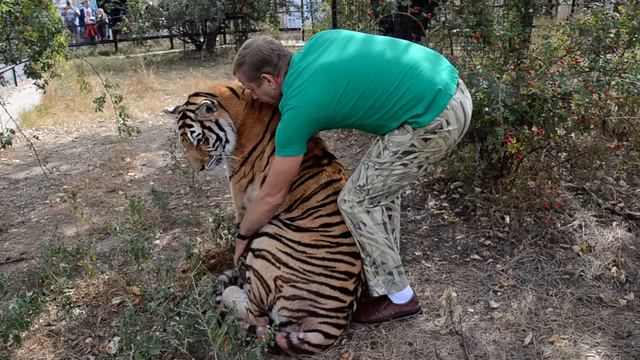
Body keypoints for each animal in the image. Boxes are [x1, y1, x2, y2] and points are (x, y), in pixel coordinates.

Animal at [172, 81, 362, 354]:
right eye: (184, 143)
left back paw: (231, 289)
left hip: (269, 242)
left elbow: (240, 237)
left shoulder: (242, 195)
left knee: (257, 316)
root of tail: (331, 326)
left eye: (200, 139)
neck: (236, 109)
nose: (198, 169)